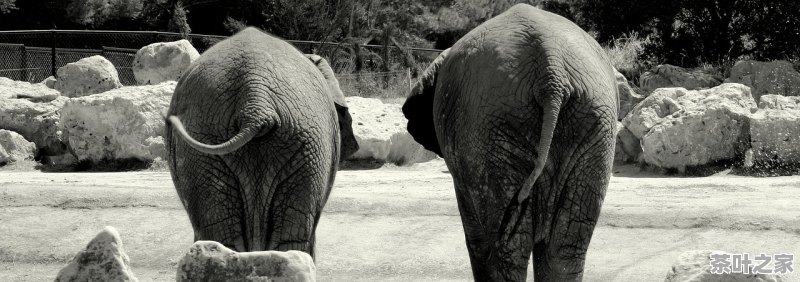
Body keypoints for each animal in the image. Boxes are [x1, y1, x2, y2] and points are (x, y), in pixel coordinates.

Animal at [400, 4, 620, 282]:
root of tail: (552, 73)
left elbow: (475, 235)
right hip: (592, 119)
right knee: (567, 245)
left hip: (491, 123)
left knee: (507, 245)